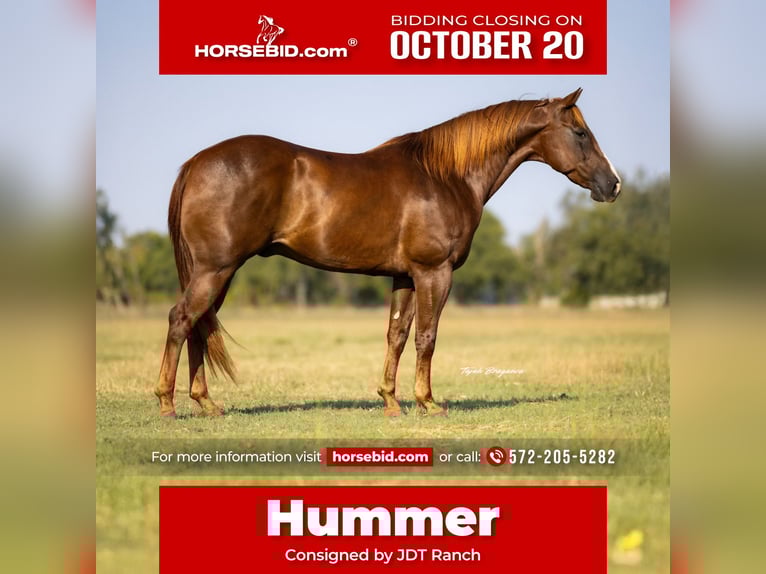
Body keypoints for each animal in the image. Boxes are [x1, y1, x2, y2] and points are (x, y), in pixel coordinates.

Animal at [154, 88, 621, 418]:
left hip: (217, 273)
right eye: (580, 133)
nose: (612, 184)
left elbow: (397, 335)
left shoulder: (405, 276)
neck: (446, 175)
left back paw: (206, 403)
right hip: (216, 269)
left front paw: (391, 400)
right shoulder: (435, 272)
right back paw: (167, 402)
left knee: (198, 325)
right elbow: (427, 337)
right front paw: (428, 402)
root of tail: (196, 163)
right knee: (182, 319)